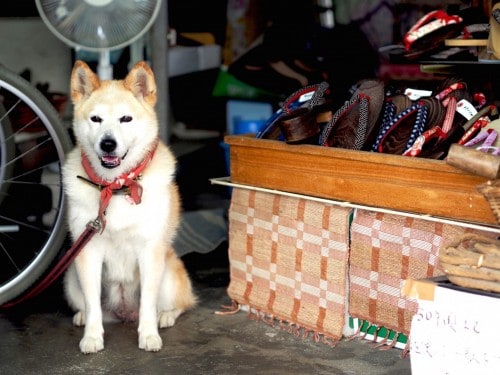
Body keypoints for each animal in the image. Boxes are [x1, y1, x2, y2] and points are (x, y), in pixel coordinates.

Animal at [61, 60, 196, 354]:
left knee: (180, 304)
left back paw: (165, 316)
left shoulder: (150, 251)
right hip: (71, 276)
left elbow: (148, 303)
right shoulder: (88, 253)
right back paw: (82, 316)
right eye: (96, 119)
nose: (108, 143)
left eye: (126, 119)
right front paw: (92, 337)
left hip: (168, 272)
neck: (116, 188)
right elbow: (92, 304)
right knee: (92, 307)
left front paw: (149, 335)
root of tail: (124, 313)